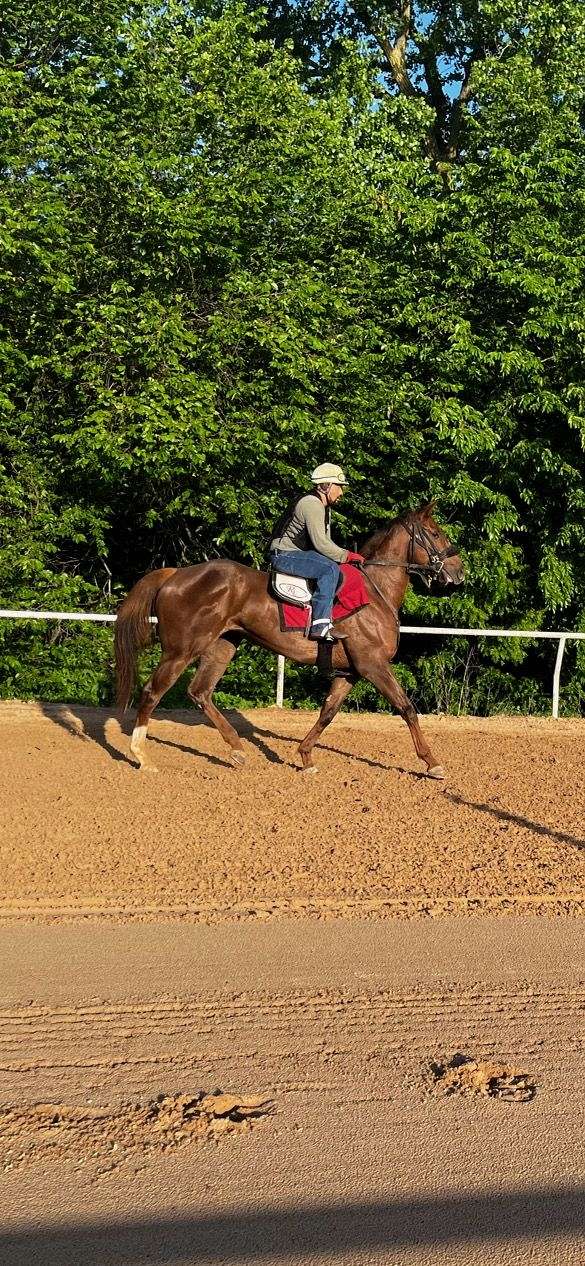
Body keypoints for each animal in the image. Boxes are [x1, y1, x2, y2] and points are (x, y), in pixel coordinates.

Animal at [114, 502, 464, 776]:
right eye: (435, 533)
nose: (459, 571)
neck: (375, 591)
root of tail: (175, 574)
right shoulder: (373, 665)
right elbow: (407, 708)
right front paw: (432, 762)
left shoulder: (350, 672)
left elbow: (327, 713)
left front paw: (306, 756)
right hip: (180, 651)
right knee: (152, 691)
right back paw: (142, 756)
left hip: (222, 646)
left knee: (200, 692)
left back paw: (237, 748)